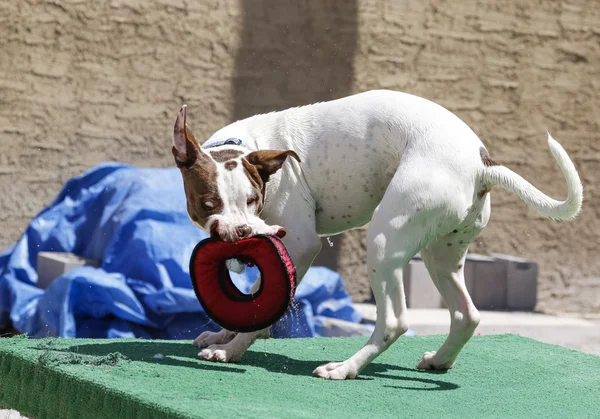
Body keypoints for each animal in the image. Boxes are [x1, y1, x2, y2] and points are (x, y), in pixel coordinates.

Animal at [171, 89, 584, 380]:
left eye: (252, 199)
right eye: (208, 203)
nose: (241, 231)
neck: (250, 145)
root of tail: (481, 163)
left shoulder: (301, 244)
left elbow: (261, 305)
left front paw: (232, 350)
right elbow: (252, 300)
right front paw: (223, 335)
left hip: (384, 242)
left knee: (395, 321)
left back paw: (345, 368)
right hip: (441, 255)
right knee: (467, 314)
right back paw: (439, 360)